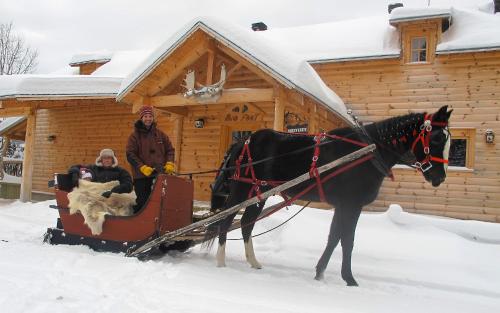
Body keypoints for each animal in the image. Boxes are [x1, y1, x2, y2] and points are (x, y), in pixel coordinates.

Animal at [207, 106, 454, 286]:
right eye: (437, 139)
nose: (439, 177)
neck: (367, 152)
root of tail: (242, 142)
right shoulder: (351, 205)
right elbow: (347, 240)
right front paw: (349, 279)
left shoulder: (342, 205)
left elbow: (334, 237)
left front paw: (320, 272)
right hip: (241, 191)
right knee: (225, 221)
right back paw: (220, 262)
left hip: (259, 193)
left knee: (246, 224)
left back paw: (253, 261)